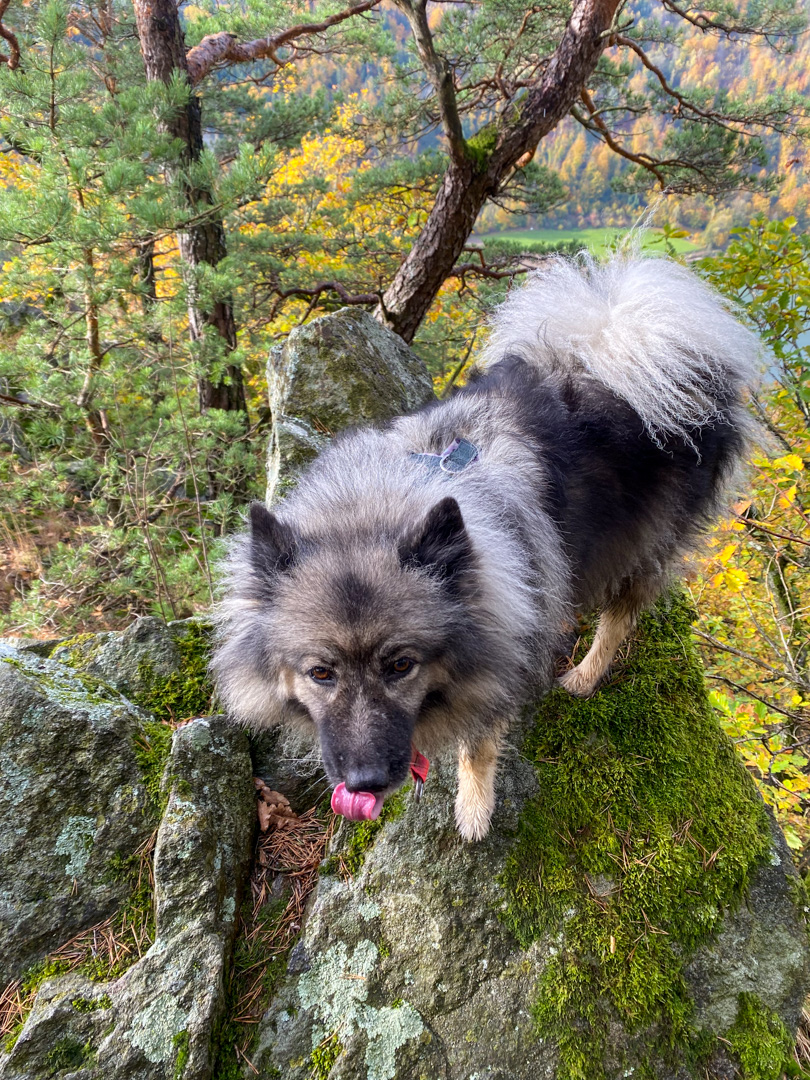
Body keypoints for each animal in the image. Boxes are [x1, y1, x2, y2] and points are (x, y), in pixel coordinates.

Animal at [211, 253, 759, 841]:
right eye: (321, 674)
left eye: (401, 665)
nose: (364, 783)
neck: (376, 506)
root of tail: (630, 336)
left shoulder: (496, 671)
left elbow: (478, 745)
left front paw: (474, 810)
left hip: (645, 540)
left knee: (620, 615)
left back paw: (585, 674)